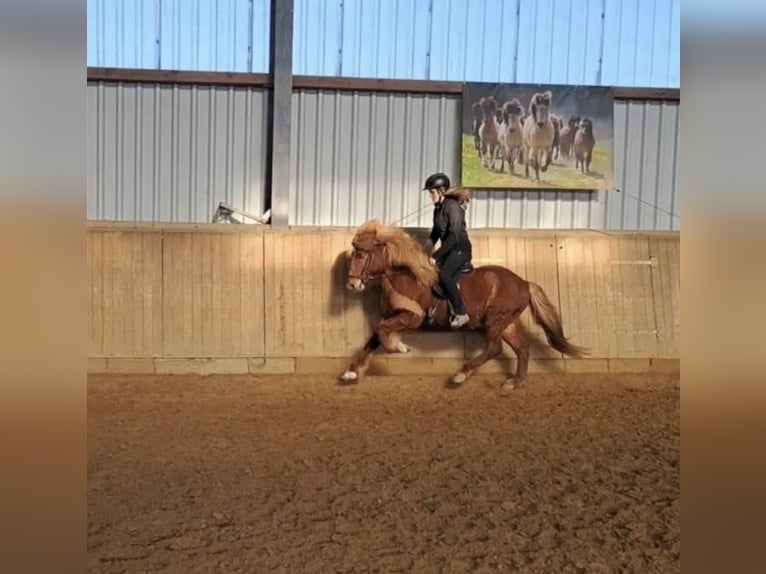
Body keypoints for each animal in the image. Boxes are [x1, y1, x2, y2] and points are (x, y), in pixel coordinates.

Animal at [341, 217, 588, 393]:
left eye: (361, 254)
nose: (352, 284)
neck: (406, 277)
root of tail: (524, 283)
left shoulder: (412, 318)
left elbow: (382, 333)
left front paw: (399, 347)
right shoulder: (390, 315)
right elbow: (375, 336)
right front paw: (351, 372)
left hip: (495, 321)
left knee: (495, 348)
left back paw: (460, 375)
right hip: (507, 323)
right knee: (522, 349)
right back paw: (514, 383)